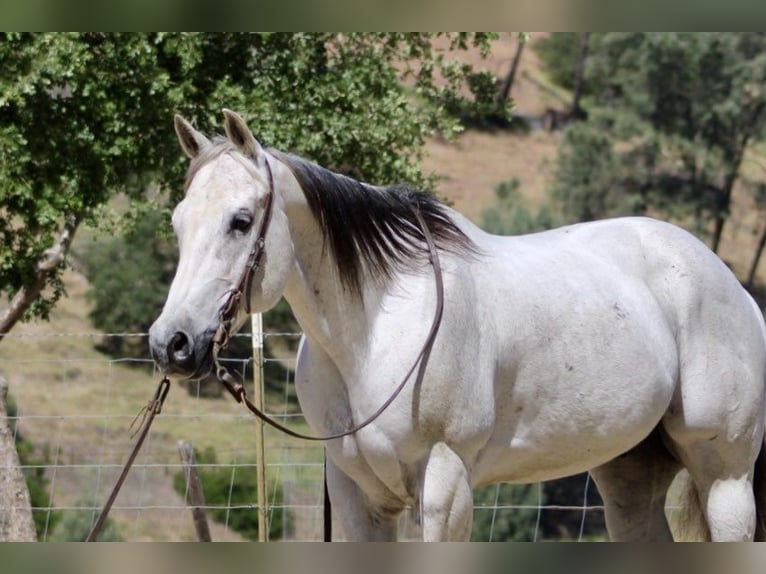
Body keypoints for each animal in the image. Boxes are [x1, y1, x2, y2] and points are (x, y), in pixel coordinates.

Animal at [149, 109, 766, 541]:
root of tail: (736, 289)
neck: (375, 328)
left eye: (240, 221)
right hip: (630, 474)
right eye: (178, 223)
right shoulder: (357, 498)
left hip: (725, 479)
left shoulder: (443, 490)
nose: (170, 344)